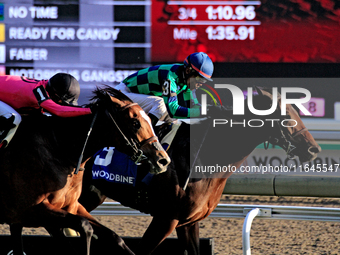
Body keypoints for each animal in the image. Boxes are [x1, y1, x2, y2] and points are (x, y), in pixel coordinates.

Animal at [0, 87, 170, 255]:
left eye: (150, 120)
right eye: (135, 123)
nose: (163, 160)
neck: (58, 149)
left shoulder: (72, 206)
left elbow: (114, 236)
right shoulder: (30, 210)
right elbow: (85, 226)